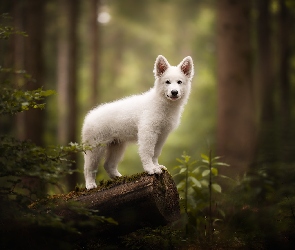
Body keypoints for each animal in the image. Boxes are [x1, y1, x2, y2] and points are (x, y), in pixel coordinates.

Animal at [82, 55, 195, 189]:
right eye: (167, 82)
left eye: (179, 82)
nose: (174, 92)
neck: (163, 105)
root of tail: (89, 116)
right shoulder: (148, 132)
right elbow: (148, 151)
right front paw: (150, 169)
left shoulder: (162, 135)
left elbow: (156, 153)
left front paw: (156, 166)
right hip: (95, 148)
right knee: (88, 167)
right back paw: (90, 184)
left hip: (117, 145)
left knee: (108, 165)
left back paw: (119, 177)